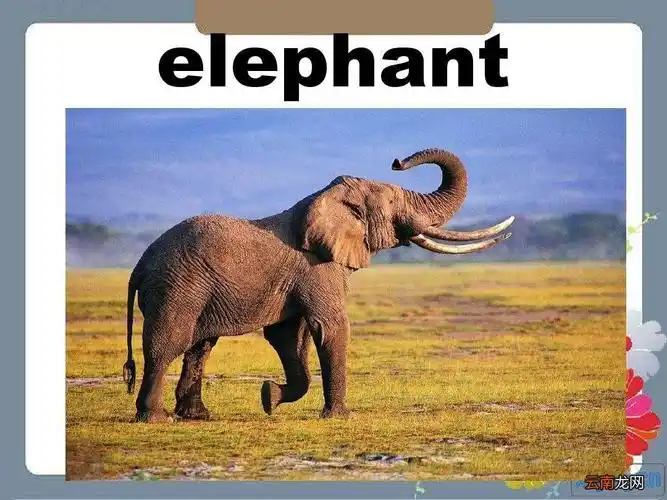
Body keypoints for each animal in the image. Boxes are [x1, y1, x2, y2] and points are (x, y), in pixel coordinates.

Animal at [121, 148, 514, 422]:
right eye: (392, 201)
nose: (397, 161)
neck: (325, 198)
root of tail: (139, 266)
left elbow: (288, 337)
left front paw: (269, 397)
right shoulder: (318, 268)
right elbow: (331, 327)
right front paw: (339, 416)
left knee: (199, 347)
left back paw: (198, 416)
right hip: (177, 286)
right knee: (169, 343)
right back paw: (154, 418)